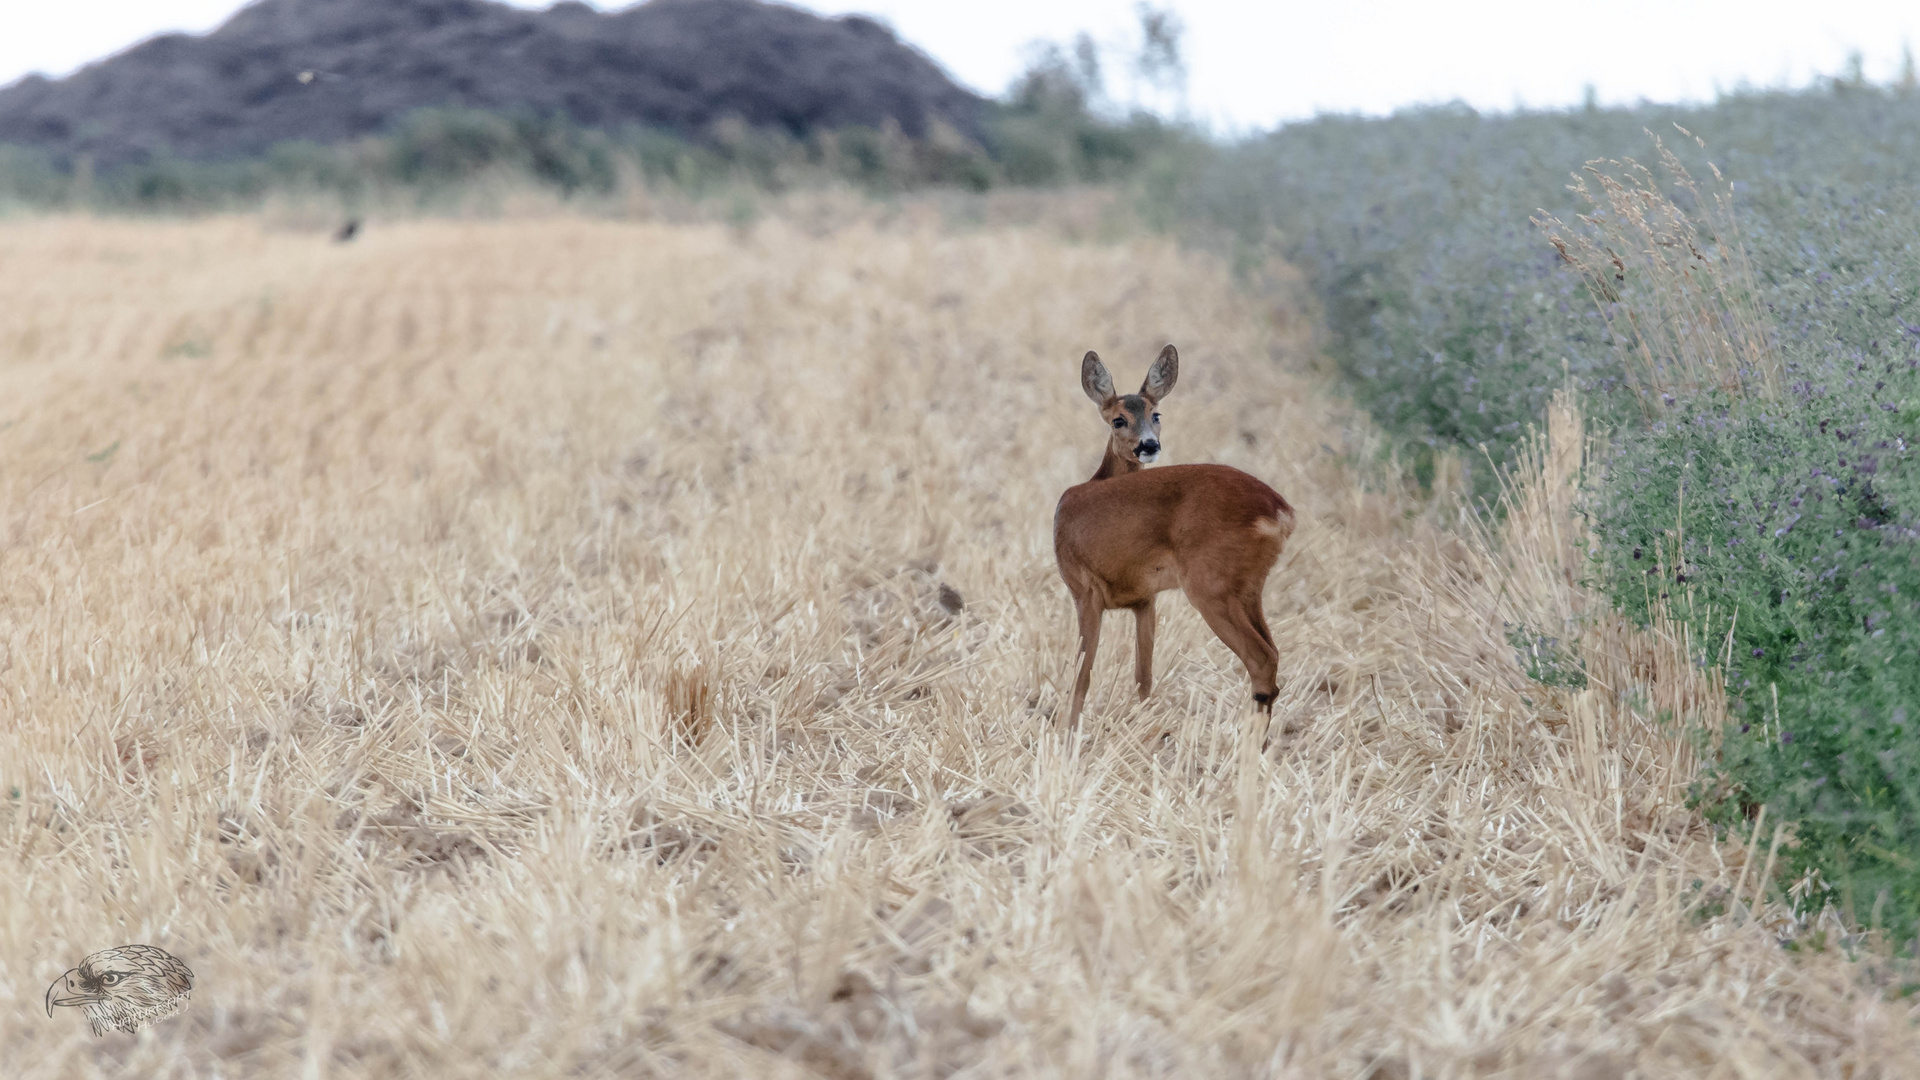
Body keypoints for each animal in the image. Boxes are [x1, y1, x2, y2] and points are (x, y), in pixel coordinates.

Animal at [1059, 349, 1297, 722]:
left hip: (1209, 583)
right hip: (1248, 587)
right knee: (1273, 653)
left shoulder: (1084, 588)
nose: (1149, 444)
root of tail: (1280, 511)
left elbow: (1081, 675)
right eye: (1118, 420)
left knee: (1262, 659)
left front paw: (1067, 731)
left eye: (1156, 414)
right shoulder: (1145, 599)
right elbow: (1143, 676)